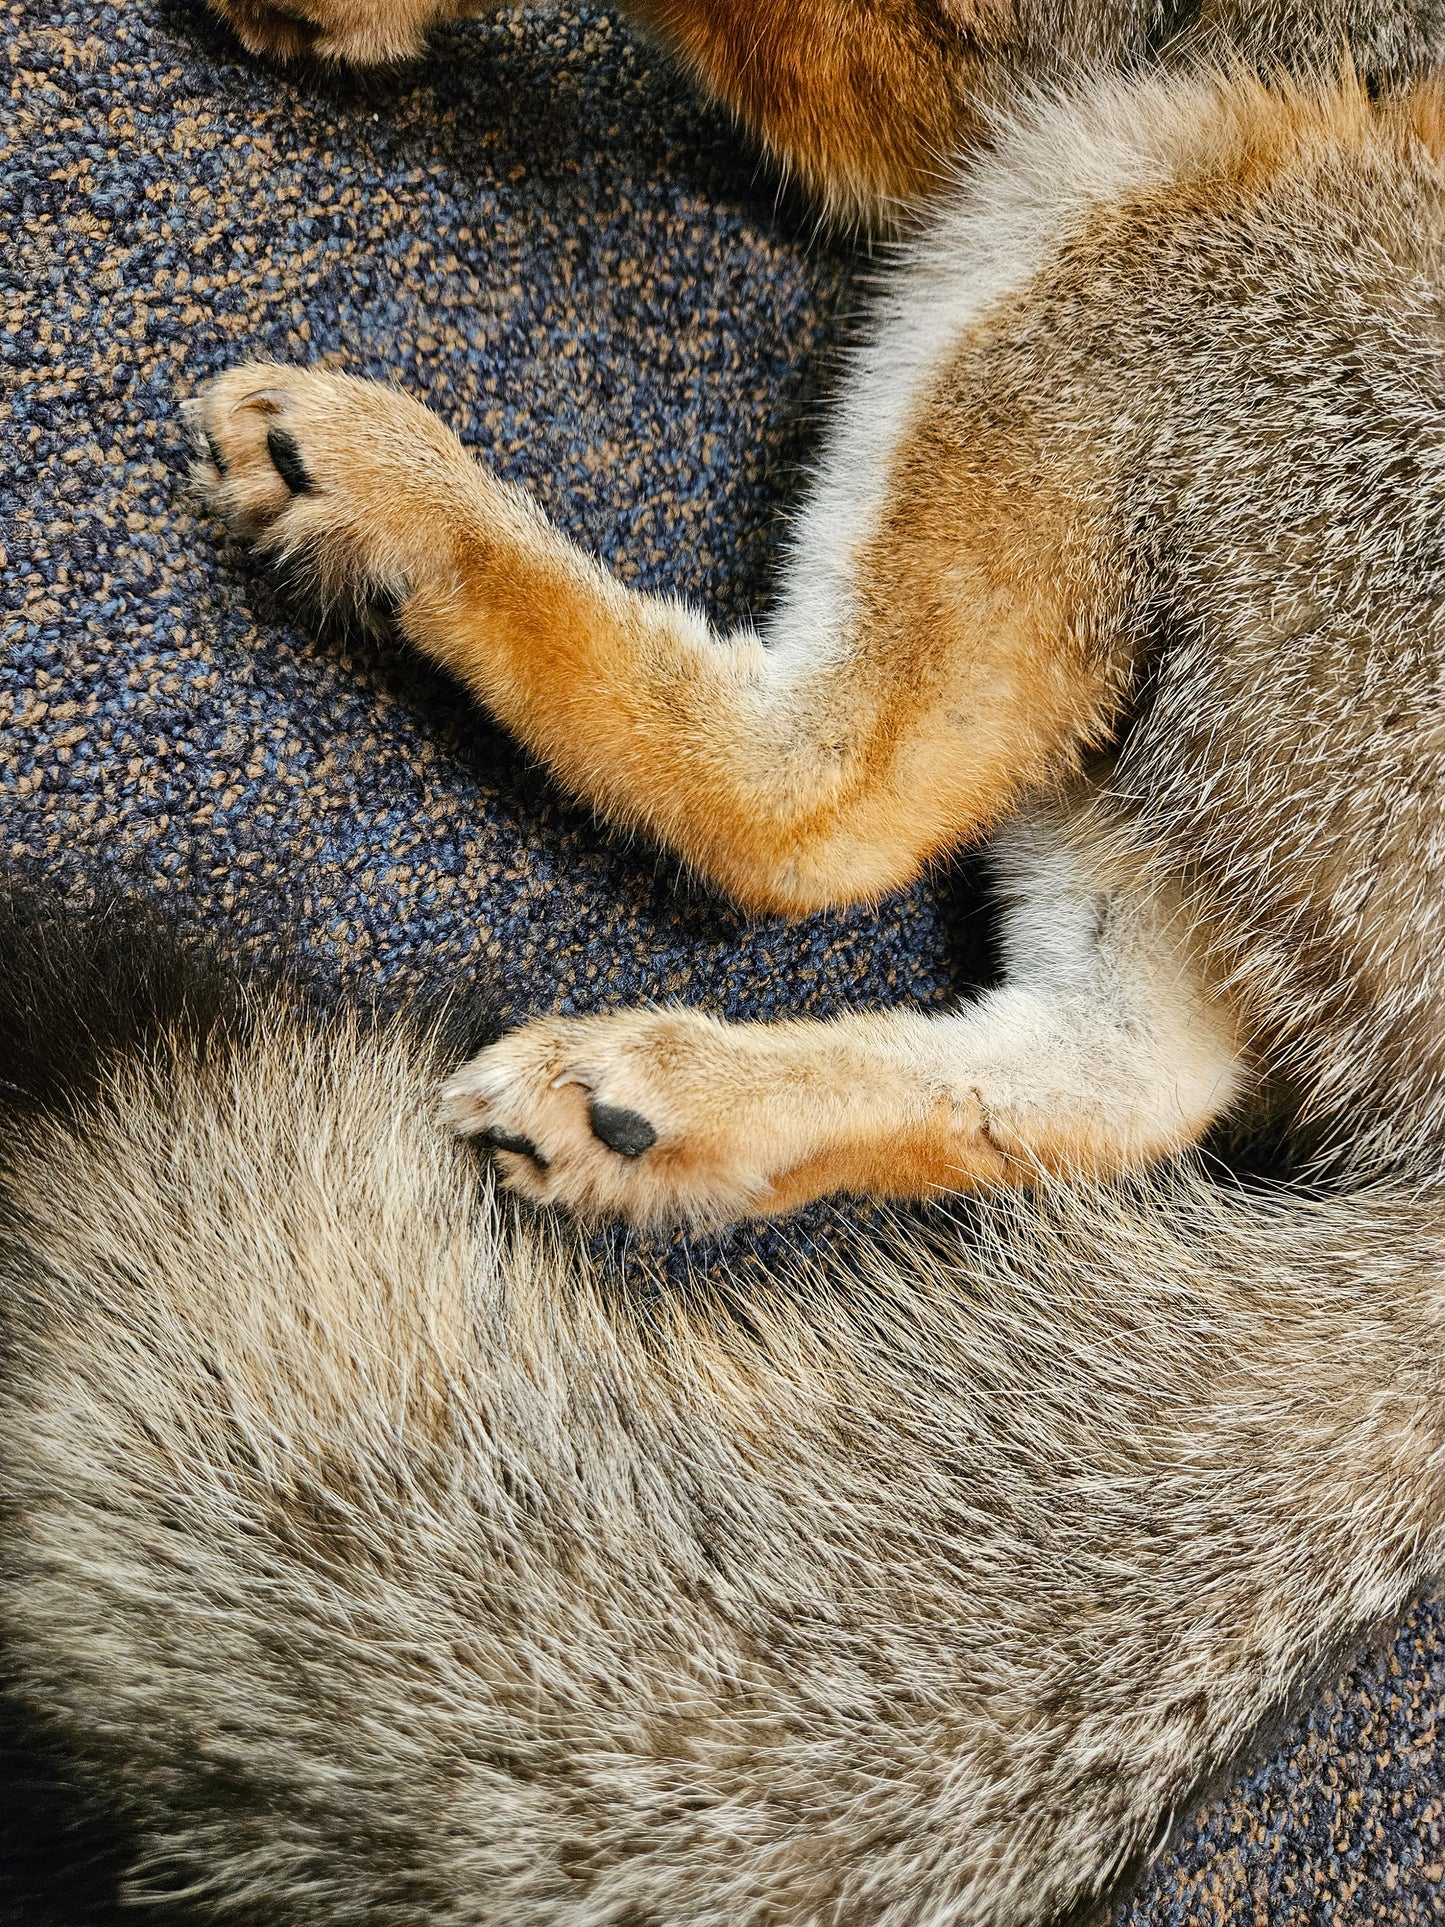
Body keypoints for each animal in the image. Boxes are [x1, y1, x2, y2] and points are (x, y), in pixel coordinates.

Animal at [8, 0, 1445, 1919]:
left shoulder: (1039, 86)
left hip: (1138, 192)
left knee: (818, 808)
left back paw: (418, 513)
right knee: (1129, 1078)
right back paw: (686, 1119)